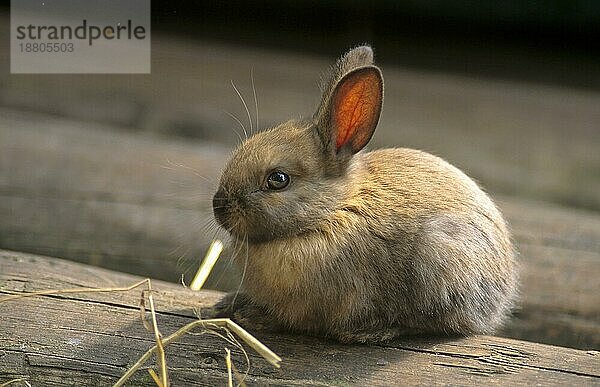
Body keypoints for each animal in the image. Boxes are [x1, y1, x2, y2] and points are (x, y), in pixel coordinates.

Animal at [211, 45, 516, 346]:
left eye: (278, 179)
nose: (218, 206)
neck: (333, 210)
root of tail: (500, 299)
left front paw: (253, 316)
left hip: (441, 258)